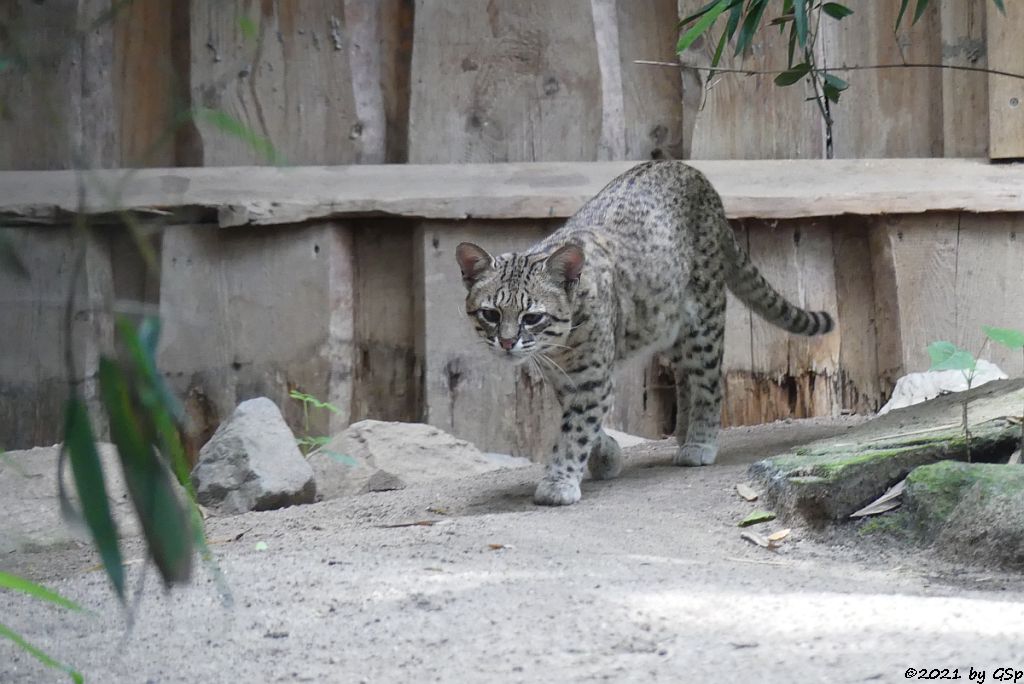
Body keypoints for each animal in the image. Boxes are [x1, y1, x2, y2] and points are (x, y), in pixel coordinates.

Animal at [456, 158, 831, 501]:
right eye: (490, 313)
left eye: (532, 317)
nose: (506, 342)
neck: (559, 347)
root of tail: (688, 169)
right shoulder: (563, 377)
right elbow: (581, 421)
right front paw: (605, 455)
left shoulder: (591, 377)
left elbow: (576, 428)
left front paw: (559, 481)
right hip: (670, 325)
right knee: (686, 376)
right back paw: (683, 429)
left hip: (704, 318)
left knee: (709, 382)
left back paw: (700, 441)